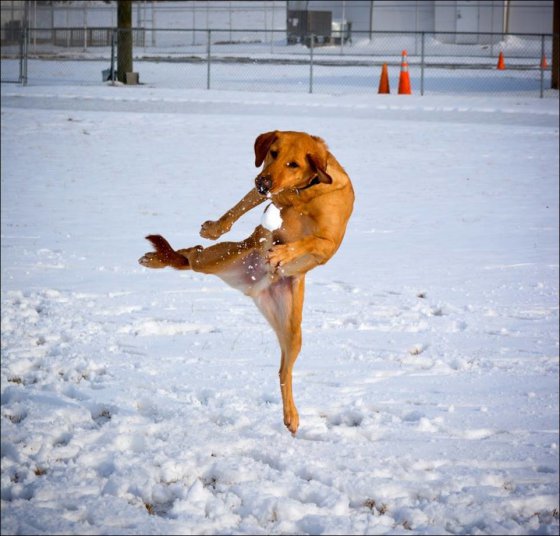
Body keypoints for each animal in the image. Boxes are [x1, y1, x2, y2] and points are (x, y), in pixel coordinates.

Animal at [138, 131, 352, 436]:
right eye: (273, 153)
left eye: (294, 164)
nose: (264, 181)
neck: (303, 194)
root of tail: (259, 284)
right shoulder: (269, 192)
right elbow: (242, 204)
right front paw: (215, 227)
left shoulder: (327, 243)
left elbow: (307, 241)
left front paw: (282, 253)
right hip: (219, 259)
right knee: (191, 255)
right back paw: (157, 258)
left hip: (292, 331)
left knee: (284, 371)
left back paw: (291, 415)